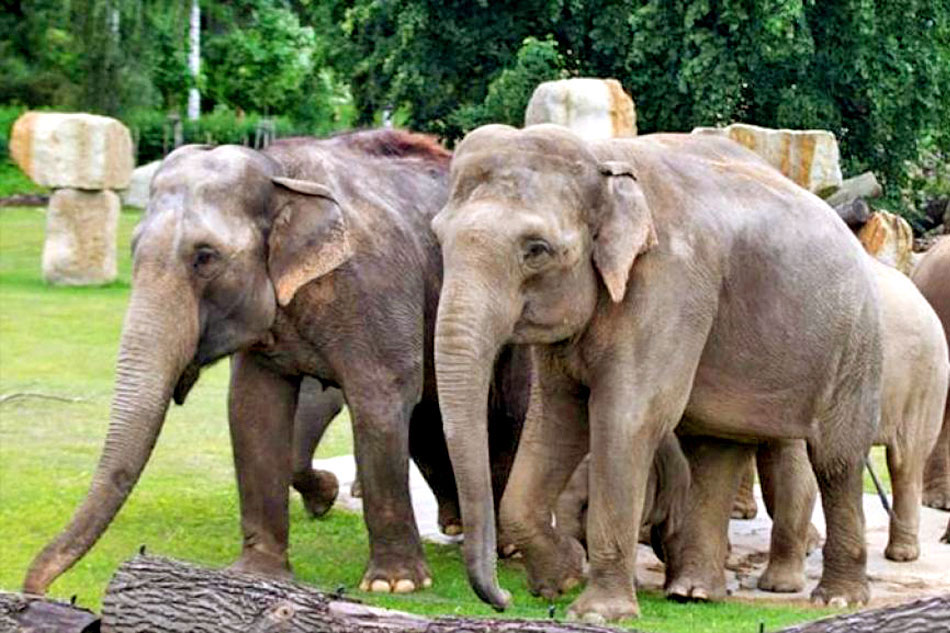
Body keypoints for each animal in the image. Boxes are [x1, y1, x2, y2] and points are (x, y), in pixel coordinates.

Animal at [24, 130, 528, 596]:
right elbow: (253, 409)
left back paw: (503, 548)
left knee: (503, 412)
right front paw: (259, 569)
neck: (278, 171)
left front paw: (395, 585)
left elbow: (380, 401)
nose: (38, 588)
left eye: (204, 257)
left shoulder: (373, 285)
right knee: (430, 414)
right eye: (132, 250)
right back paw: (458, 526)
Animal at [432, 124, 884, 624]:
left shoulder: (671, 282)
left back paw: (837, 598)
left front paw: (595, 613)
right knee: (715, 450)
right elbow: (555, 419)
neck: (602, 157)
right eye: (438, 238)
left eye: (536, 250)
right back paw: (695, 593)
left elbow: (629, 419)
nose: (503, 600)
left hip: (855, 345)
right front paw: (560, 580)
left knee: (837, 459)